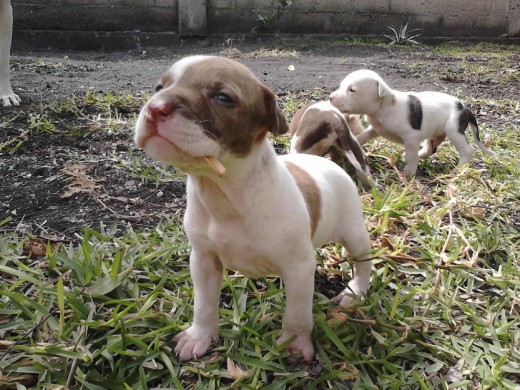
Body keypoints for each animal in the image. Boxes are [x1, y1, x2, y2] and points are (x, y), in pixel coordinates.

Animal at [134, 55, 370, 362]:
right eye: (159, 88)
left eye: (223, 97)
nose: (155, 108)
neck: (223, 189)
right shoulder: (203, 261)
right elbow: (204, 304)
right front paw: (199, 336)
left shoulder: (298, 267)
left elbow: (297, 314)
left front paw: (295, 345)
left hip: (354, 232)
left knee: (362, 263)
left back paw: (356, 291)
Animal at [330, 69, 496, 176]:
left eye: (352, 90)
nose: (330, 97)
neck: (383, 105)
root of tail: (465, 108)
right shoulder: (375, 129)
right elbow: (362, 136)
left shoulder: (410, 137)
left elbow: (410, 156)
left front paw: (408, 172)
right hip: (435, 132)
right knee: (430, 148)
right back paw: (422, 153)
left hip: (453, 130)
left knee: (467, 151)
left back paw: (457, 170)